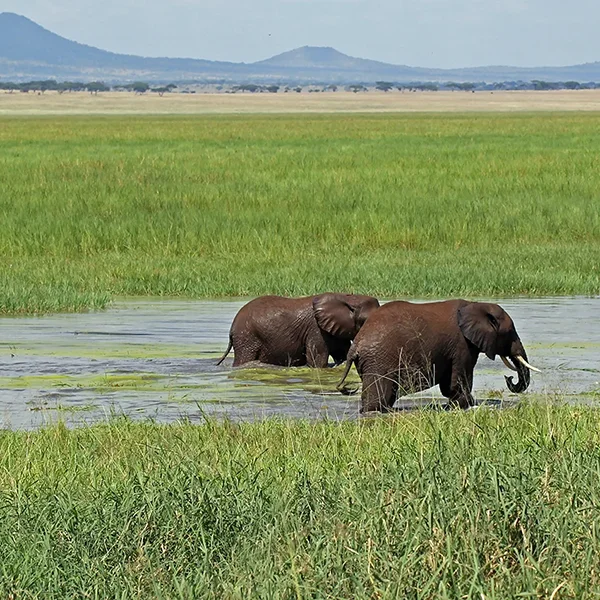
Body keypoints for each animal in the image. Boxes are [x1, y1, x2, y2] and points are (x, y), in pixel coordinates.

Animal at [217, 292, 380, 368]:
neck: (348, 298)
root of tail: (232, 328)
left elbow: (342, 354)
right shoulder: (316, 329)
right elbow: (317, 362)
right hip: (247, 338)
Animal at [338, 300, 540, 412]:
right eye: (509, 332)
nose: (509, 378)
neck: (475, 305)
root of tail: (356, 344)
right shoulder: (462, 345)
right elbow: (458, 379)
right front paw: (468, 405)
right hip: (379, 360)